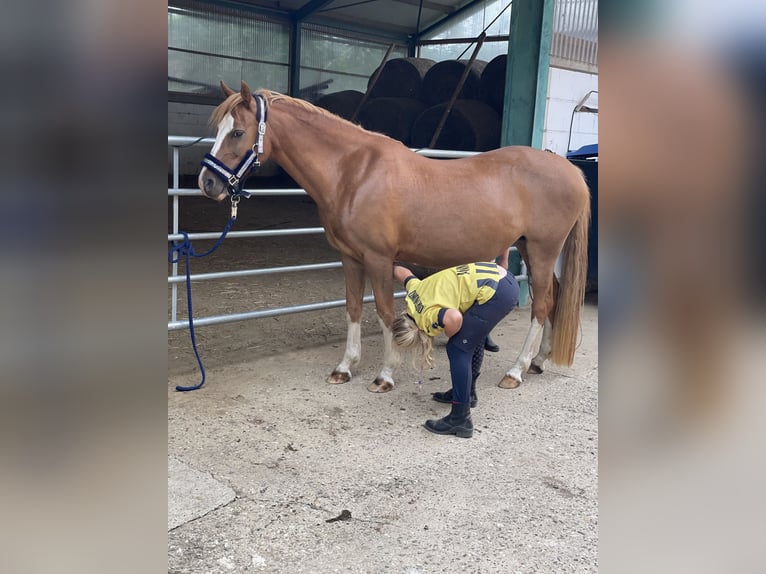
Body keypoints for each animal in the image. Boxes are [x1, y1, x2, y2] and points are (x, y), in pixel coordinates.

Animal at [200, 81, 592, 394]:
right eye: (219, 128)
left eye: (237, 132)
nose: (208, 183)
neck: (354, 173)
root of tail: (569, 169)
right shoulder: (350, 257)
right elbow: (353, 307)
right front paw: (345, 367)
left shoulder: (379, 258)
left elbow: (385, 312)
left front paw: (385, 374)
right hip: (531, 249)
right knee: (555, 298)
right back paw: (540, 361)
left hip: (542, 250)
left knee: (541, 305)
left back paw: (517, 371)